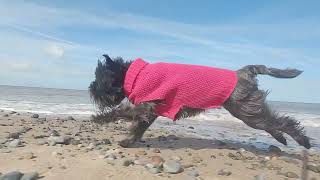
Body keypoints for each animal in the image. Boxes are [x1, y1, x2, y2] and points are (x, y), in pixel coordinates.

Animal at [89, 54, 312, 149]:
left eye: (99, 78)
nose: (90, 88)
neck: (135, 74)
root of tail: (243, 71)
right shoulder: (150, 112)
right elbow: (138, 128)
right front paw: (129, 141)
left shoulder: (145, 106)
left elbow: (119, 112)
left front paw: (98, 119)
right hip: (250, 111)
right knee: (273, 122)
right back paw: (282, 139)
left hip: (246, 111)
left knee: (283, 122)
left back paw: (303, 141)